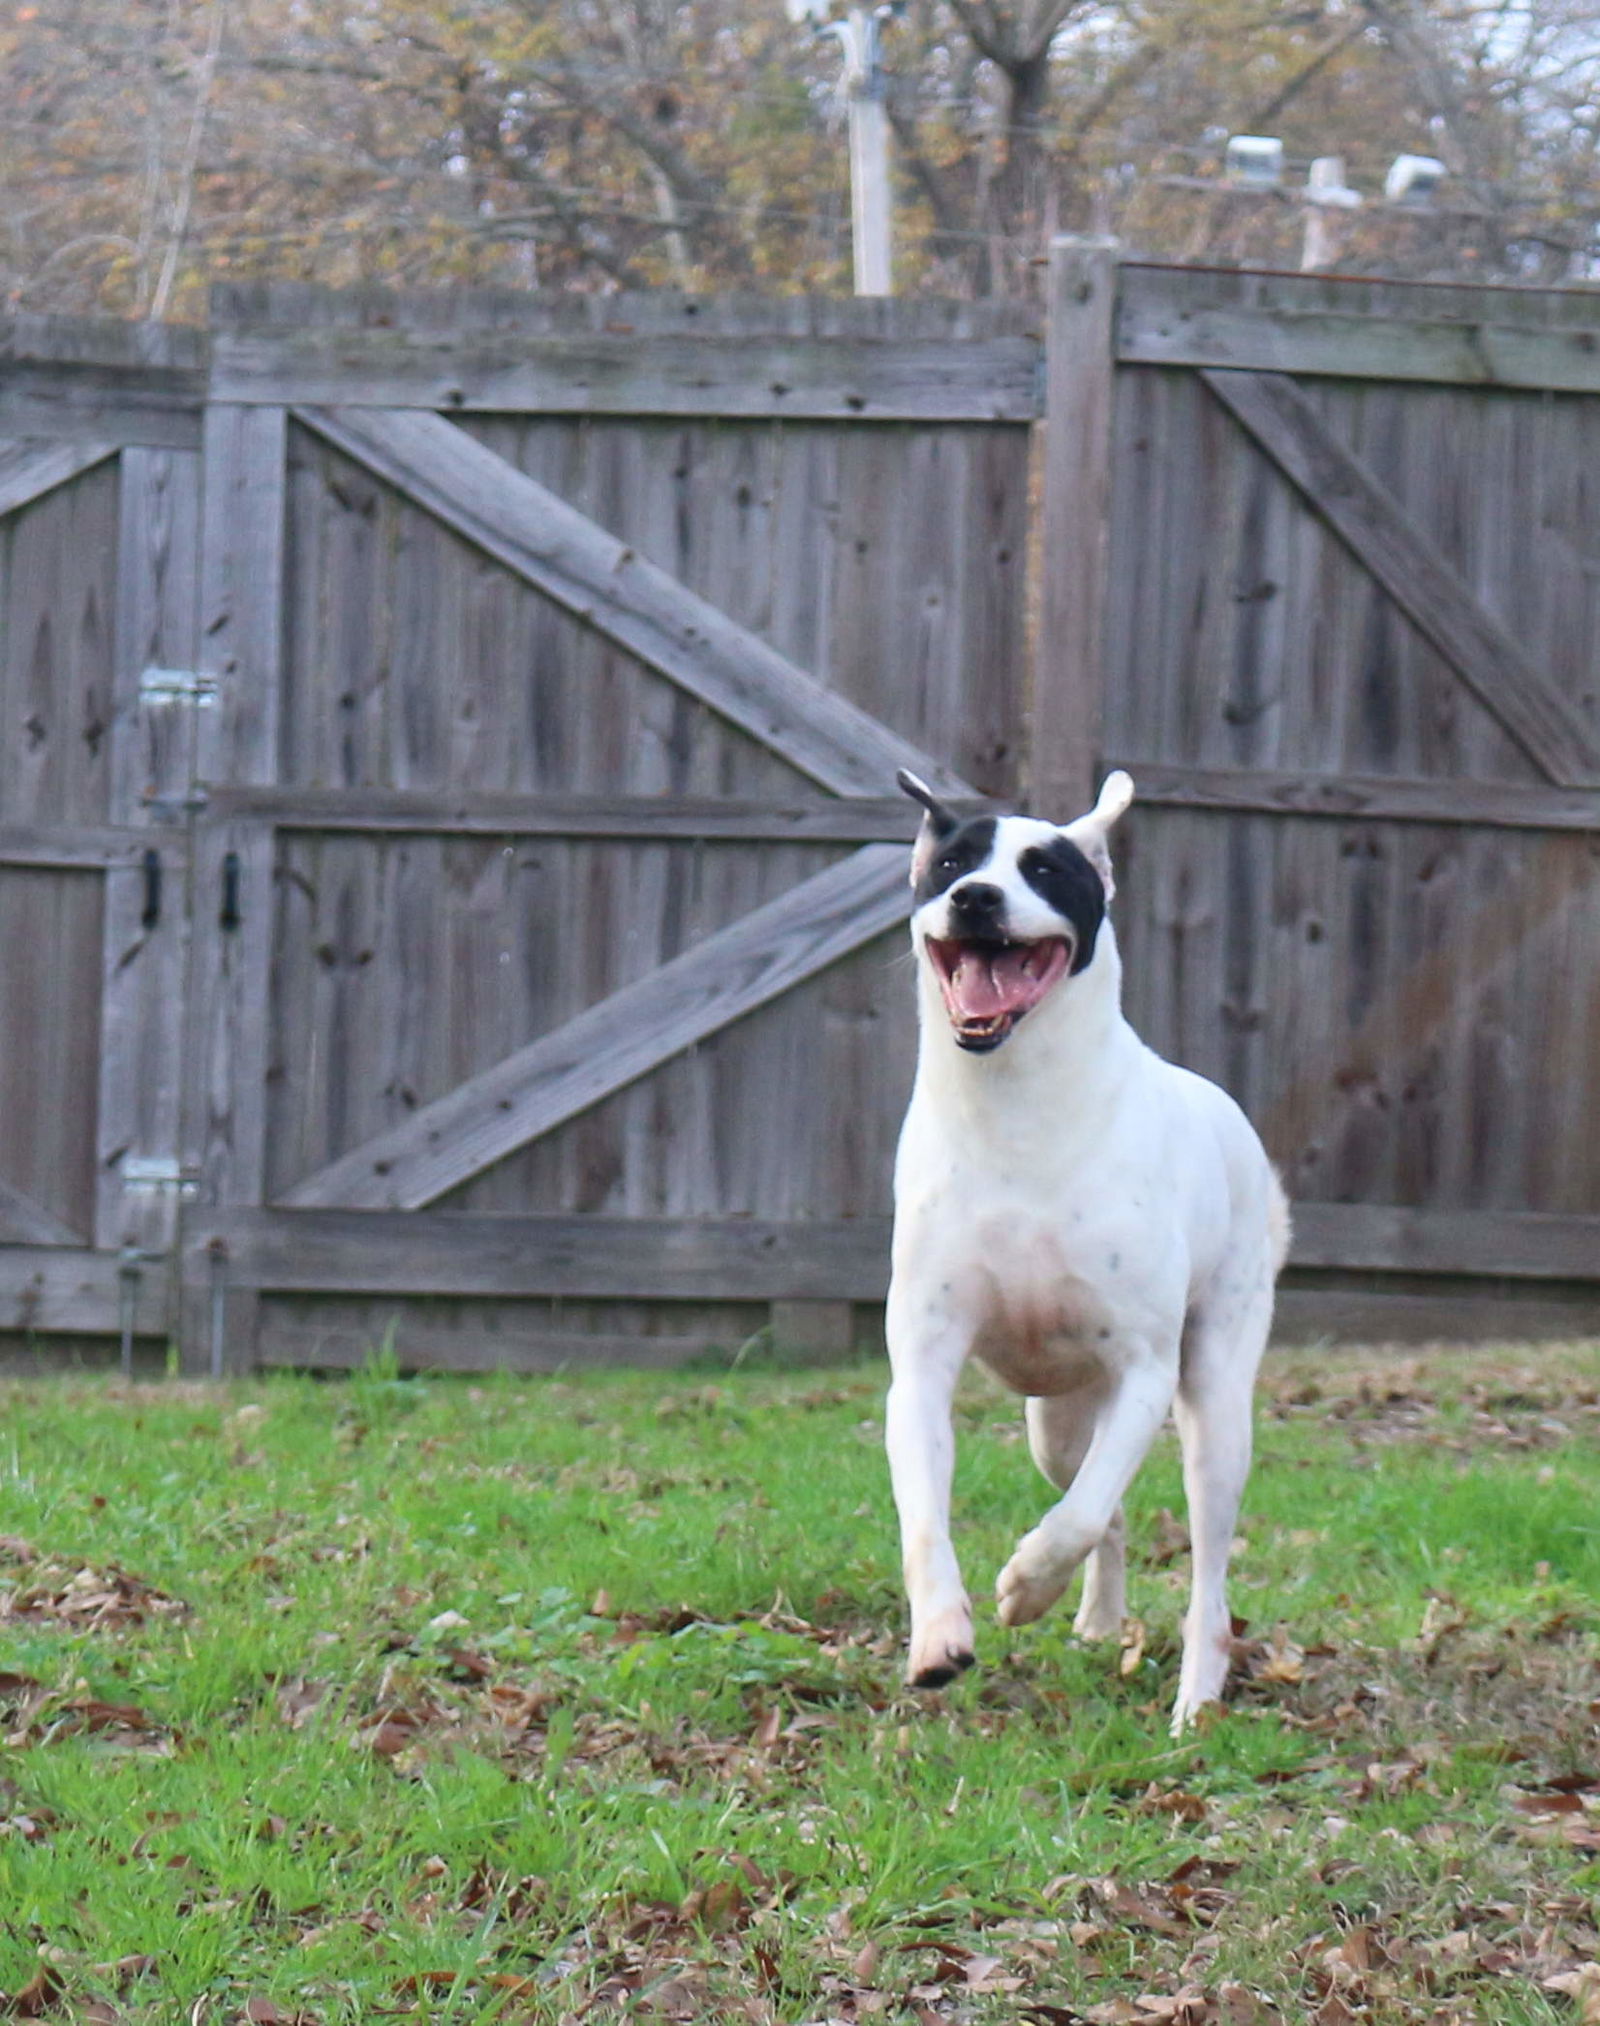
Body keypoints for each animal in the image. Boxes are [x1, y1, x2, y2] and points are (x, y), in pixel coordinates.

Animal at [883, 765, 1296, 1734]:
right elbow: (928, 1517)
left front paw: (1026, 1585)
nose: (976, 896)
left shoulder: (1144, 1369)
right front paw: (940, 1637)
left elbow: (1075, 1518)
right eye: (950, 863)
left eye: (1045, 868)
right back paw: (1100, 1620)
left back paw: (1195, 1698)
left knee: (1195, 1559)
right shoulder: (920, 1365)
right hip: (1057, 1423)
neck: (1015, 1108)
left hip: (1214, 1403)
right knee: (1096, 1498)